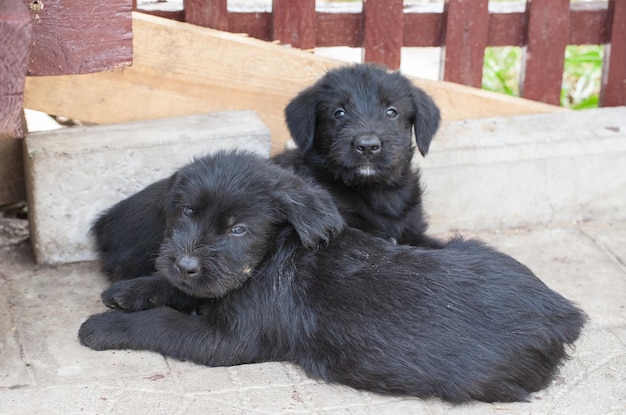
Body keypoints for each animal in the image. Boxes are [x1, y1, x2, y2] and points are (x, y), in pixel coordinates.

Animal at [79, 151, 584, 404]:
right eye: (185, 213)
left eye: (238, 230)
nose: (185, 262)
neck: (272, 255)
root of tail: (565, 314)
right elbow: (177, 290)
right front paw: (129, 289)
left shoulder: (229, 341)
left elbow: (164, 322)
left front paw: (105, 326)